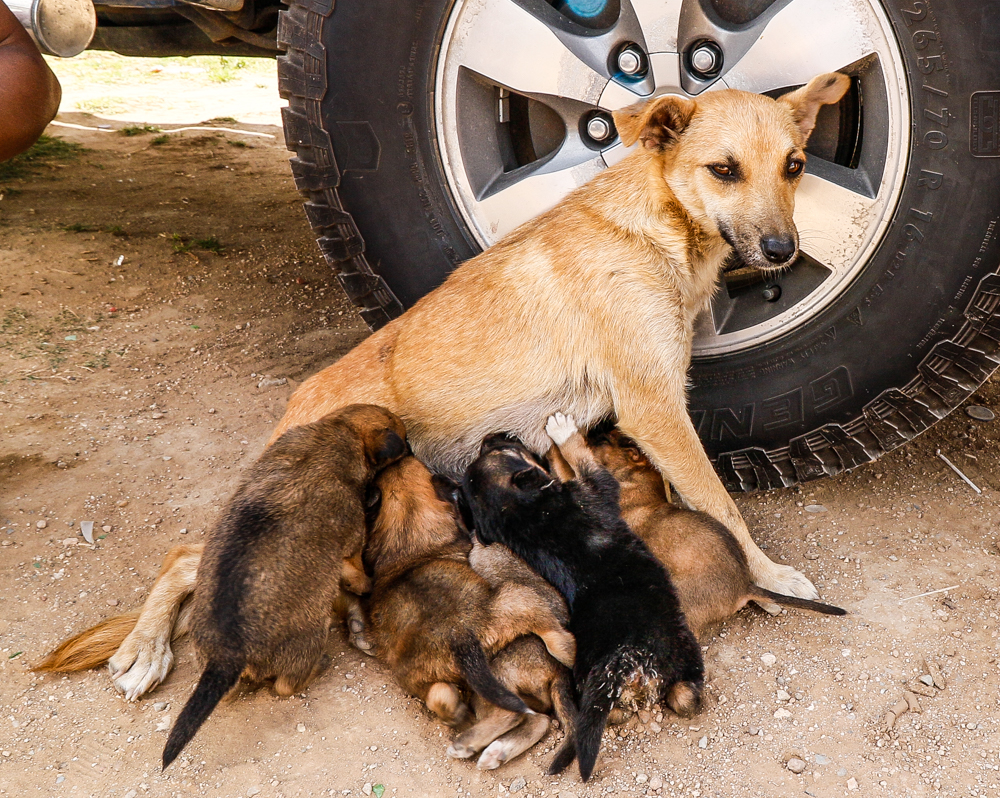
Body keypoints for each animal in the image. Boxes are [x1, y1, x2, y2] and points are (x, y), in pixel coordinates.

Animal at [160, 406, 406, 768]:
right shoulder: (350, 540)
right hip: (309, 638)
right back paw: (318, 666)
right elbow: (356, 568)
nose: (412, 445)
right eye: (401, 432)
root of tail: (225, 656)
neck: (336, 433)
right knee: (285, 686)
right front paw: (365, 583)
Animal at [366, 460, 580, 736]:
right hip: (517, 596)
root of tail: (461, 637)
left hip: (413, 673)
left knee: (440, 695)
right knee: (555, 638)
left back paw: (460, 719)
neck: (408, 527)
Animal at [460, 412, 704, 780]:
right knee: (687, 696)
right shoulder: (596, 488)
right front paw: (562, 433)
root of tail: (625, 662)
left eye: (495, 449)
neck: (524, 514)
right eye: (505, 450)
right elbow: (580, 459)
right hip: (685, 649)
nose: (494, 434)